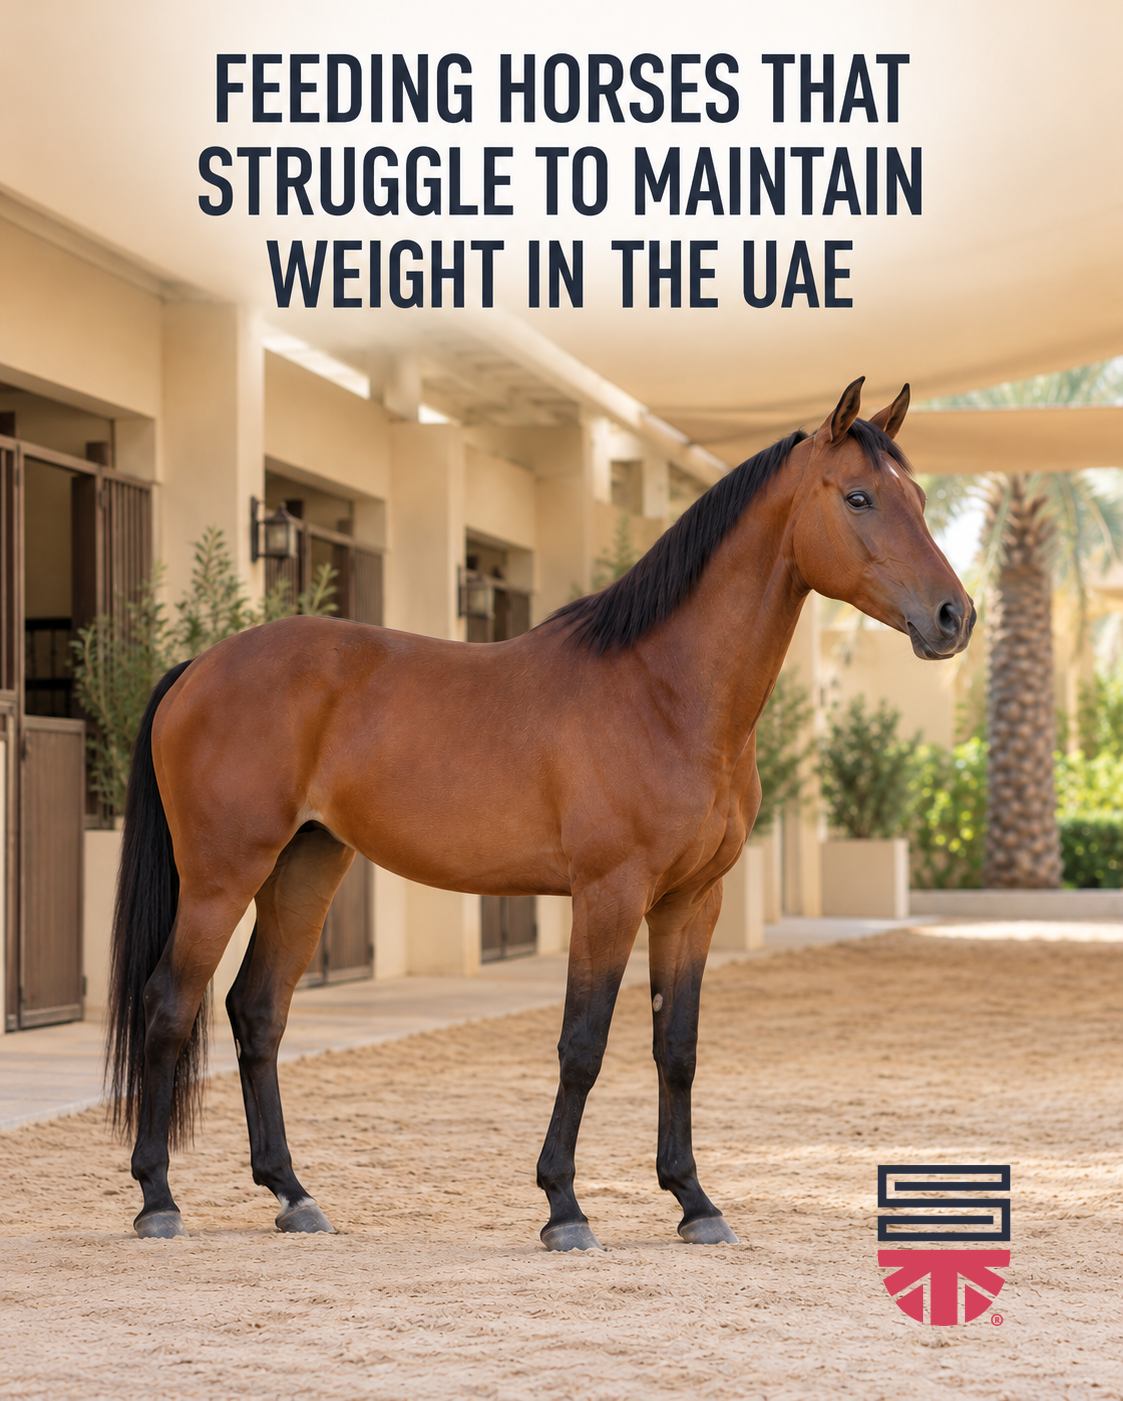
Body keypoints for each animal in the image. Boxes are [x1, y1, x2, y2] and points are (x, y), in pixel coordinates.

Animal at [107, 377, 973, 1247]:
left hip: (305, 866)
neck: (662, 692)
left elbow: (677, 1046)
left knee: (257, 1011)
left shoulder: (693, 900)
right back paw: (158, 1199)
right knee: (169, 1004)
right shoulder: (608, 894)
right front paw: (564, 1205)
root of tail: (199, 665)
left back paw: (292, 1192)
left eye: (917, 496)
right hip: (221, 875)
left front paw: (694, 1201)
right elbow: (582, 1044)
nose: (952, 617)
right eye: (859, 497)